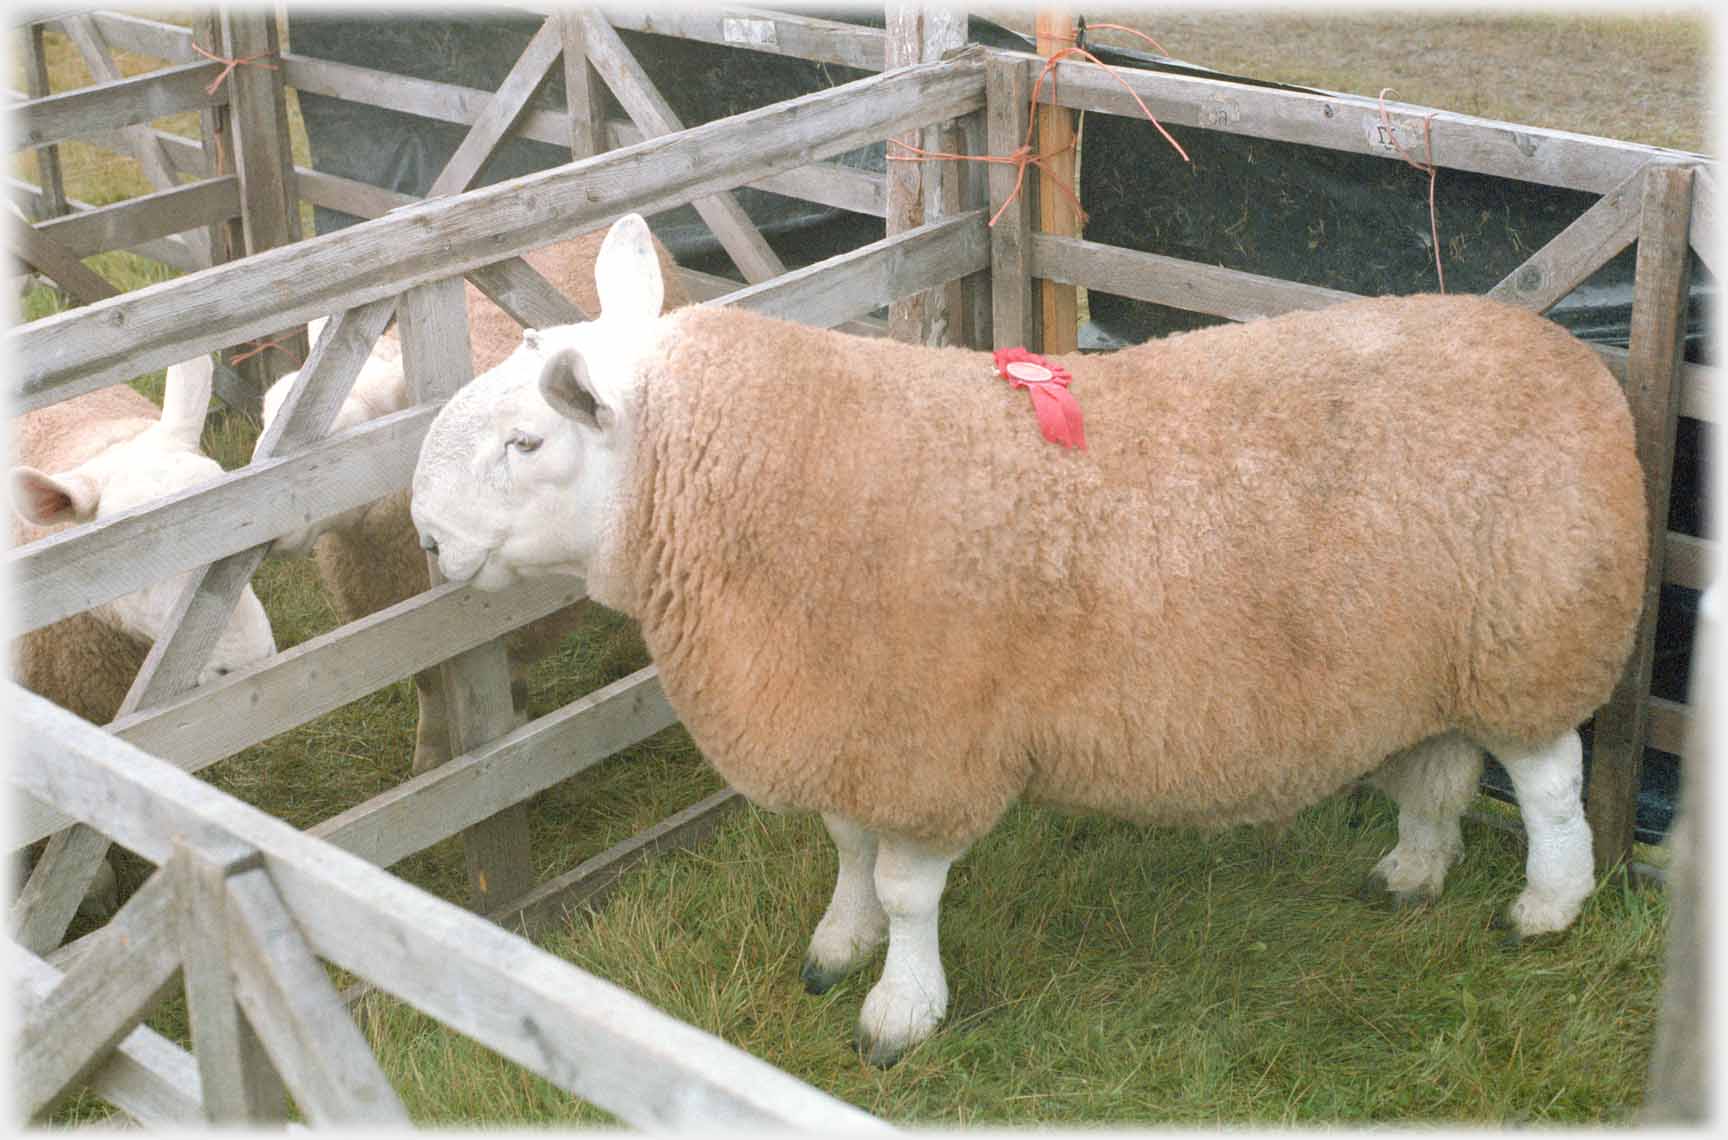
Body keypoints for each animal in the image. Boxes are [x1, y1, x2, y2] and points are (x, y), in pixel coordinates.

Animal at [255, 224, 687, 773]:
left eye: (346, 441)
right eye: (266, 418)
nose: (264, 530)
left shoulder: (512, 631)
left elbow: (509, 699)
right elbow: (430, 701)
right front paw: (428, 764)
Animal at [400, 214, 1645, 1070]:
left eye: (525, 443)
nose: (423, 537)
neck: (750, 486)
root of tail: (1563, 353)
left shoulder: (928, 740)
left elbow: (906, 890)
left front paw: (898, 1011)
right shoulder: (854, 723)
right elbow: (846, 851)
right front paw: (836, 948)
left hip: (1537, 635)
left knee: (1547, 785)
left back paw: (1547, 907)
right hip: (1433, 658)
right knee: (1440, 769)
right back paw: (1411, 871)